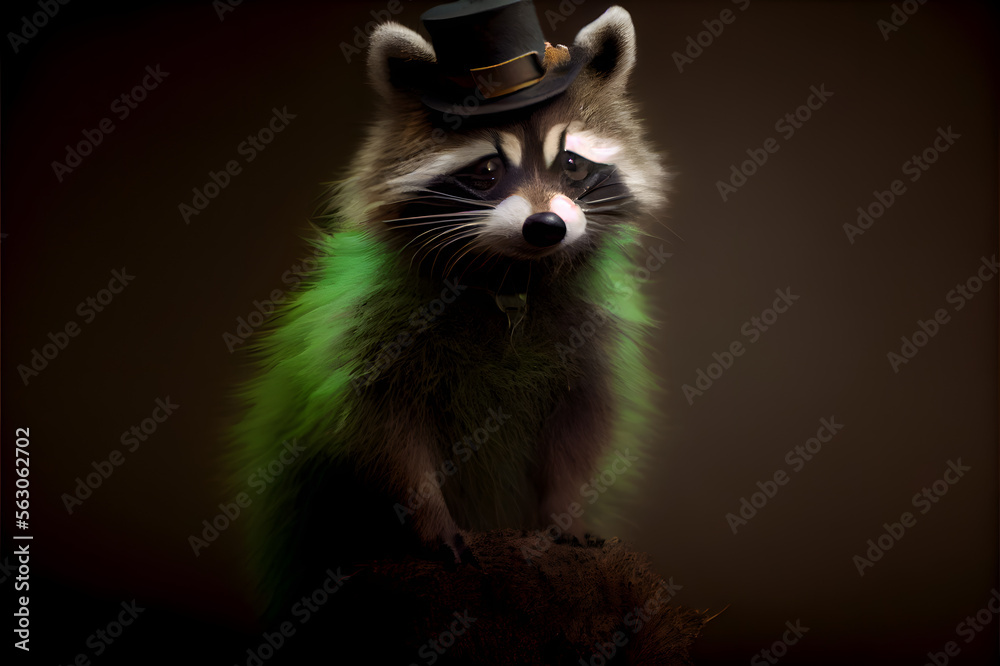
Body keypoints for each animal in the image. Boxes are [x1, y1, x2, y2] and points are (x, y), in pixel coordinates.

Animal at [232, 3, 668, 615]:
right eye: (486, 170)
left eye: (573, 164)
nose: (546, 227)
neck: (511, 277)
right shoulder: (372, 331)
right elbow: (382, 438)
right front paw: (430, 518)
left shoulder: (589, 340)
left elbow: (580, 430)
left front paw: (564, 510)